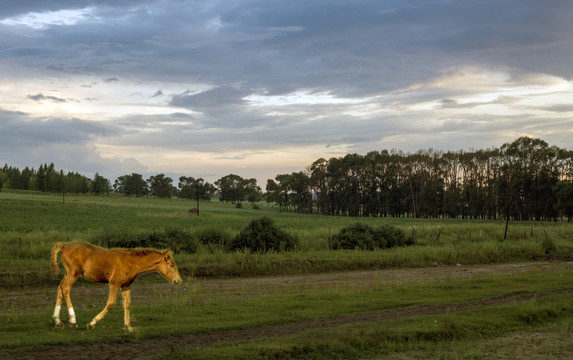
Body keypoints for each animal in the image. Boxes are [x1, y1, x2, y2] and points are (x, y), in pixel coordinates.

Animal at [52, 242, 181, 332]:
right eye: (171, 265)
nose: (178, 280)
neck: (131, 262)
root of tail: (65, 245)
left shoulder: (126, 286)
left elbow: (127, 304)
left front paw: (128, 327)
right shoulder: (115, 283)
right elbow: (110, 304)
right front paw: (91, 324)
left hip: (68, 274)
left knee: (60, 288)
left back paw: (58, 321)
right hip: (73, 273)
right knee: (66, 289)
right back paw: (73, 321)